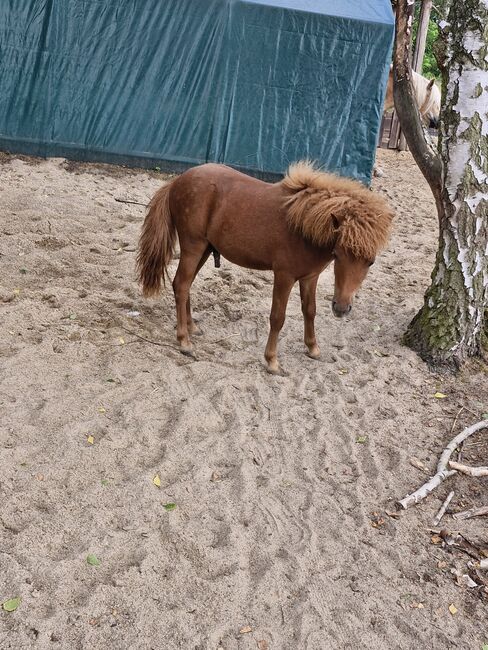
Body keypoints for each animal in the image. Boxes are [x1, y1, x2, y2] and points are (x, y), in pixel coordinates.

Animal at [136, 162, 392, 372]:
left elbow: (310, 311)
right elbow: (278, 317)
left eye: (371, 261)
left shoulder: (310, 277)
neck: (303, 227)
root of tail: (178, 181)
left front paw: (313, 348)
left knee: (185, 285)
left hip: (205, 249)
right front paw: (272, 361)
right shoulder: (284, 276)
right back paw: (184, 340)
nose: (341, 308)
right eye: (338, 254)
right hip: (193, 246)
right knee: (181, 284)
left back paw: (191, 328)